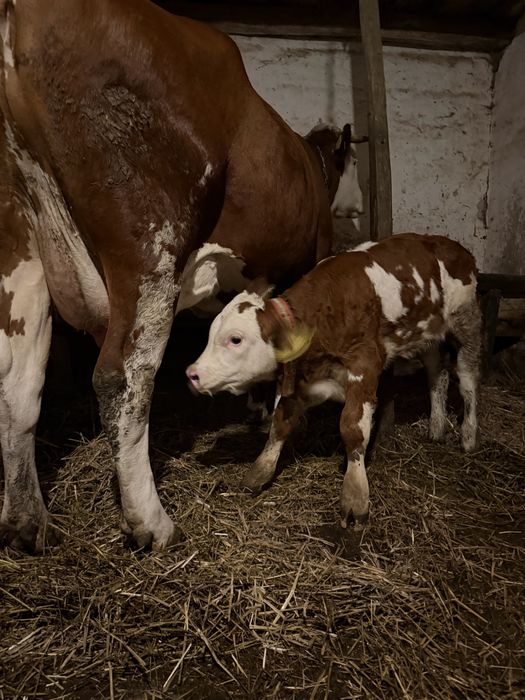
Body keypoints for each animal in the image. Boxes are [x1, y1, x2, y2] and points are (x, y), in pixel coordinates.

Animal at [0, 0, 363, 552]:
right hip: (150, 242)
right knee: (123, 377)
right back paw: (151, 523)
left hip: (20, 249)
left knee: (17, 382)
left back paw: (26, 522)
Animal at [187, 233, 481, 529]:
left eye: (235, 339)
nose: (192, 373)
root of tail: (453, 245)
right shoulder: (299, 378)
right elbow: (279, 423)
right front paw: (261, 471)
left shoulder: (364, 365)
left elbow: (352, 428)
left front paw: (355, 496)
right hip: (428, 337)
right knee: (438, 375)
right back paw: (437, 426)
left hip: (465, 323)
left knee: (468, 380)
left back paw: (468, 436)